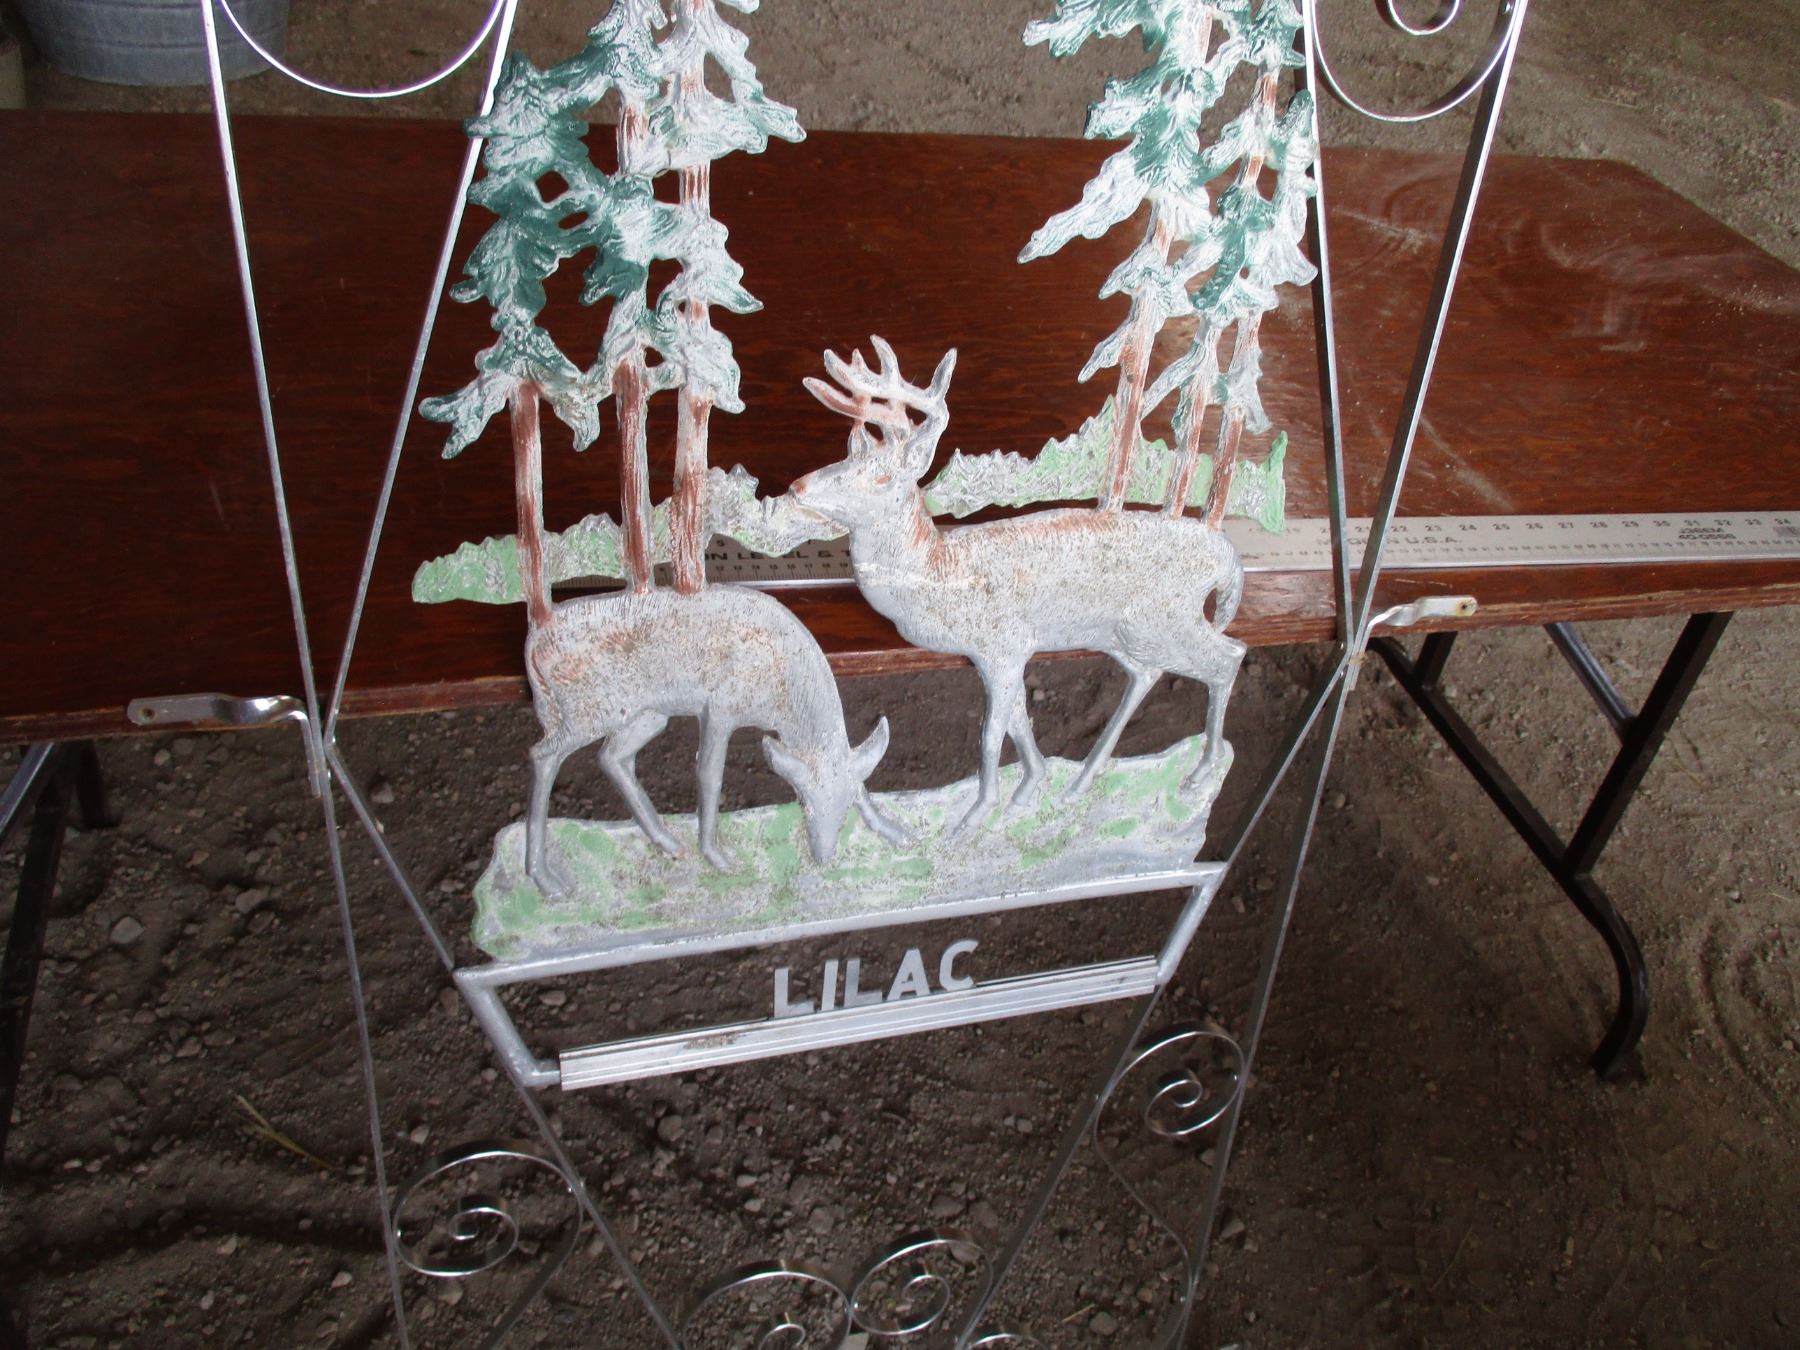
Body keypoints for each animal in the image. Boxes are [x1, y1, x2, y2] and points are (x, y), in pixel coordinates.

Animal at [523, 583, 905, 897]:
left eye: (842, 814)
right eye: (803, 803)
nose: (824, 857)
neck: (785, 693)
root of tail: (535, 642)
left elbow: (860, 781)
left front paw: (893, 831)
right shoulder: (721, 708)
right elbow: (709, 774)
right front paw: (717, 857)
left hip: (646, 714)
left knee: (611, 757)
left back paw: (667, 842)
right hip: (588, 713)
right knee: (543, 753)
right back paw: (544, 877)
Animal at [790, 337, 1246, 837]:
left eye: (881, 475)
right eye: (844, 456)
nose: (797, 486)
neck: (940, 572)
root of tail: (1227, 557)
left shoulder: (1003, 643)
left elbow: (992, 732)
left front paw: (977, 812)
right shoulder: (1003, 652)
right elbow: (1019, 719)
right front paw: (1030, 787)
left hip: (1165, 618)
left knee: (1229, 657)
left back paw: (1201, 773)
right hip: (1122, 635)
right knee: (1148, 673)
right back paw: (1082, 782)